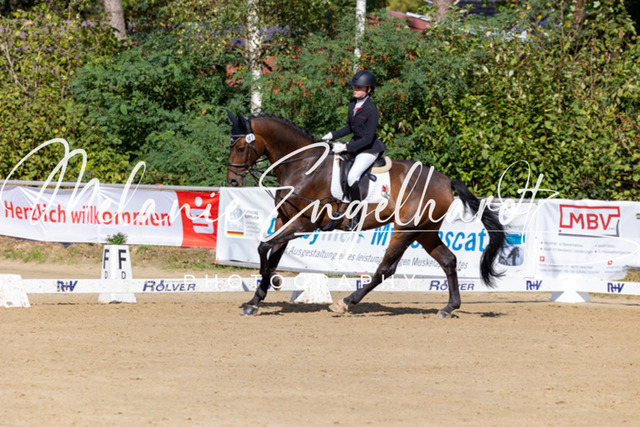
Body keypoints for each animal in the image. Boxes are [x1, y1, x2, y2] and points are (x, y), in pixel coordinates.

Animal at [225, 111, 506, 317]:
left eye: (239, 147)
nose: (232, 181)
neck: (304, 166)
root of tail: (445, 180)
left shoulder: (304, 224)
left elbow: (264, 247)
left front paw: (269, 285)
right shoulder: (285, 219)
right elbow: (272, 256)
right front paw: (255, 299)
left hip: (406, 229)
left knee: (386, 268)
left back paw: (346, 302)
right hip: (424, 230)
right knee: (448, 260)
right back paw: (449, 307)